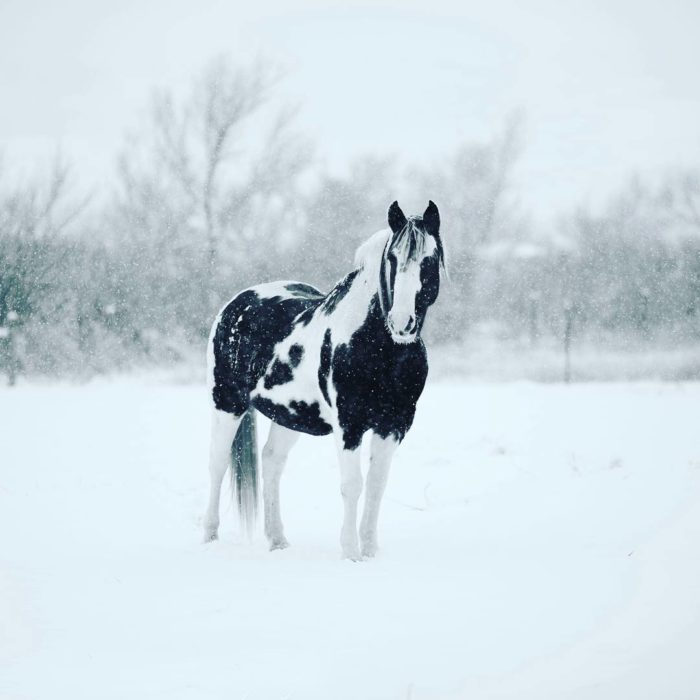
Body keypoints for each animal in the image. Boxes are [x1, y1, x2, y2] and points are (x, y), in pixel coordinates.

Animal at [204, 200, 442, 560]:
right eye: (392, 258)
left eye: (429, 259)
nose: (402, 322)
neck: (379, 349)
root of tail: (236, 303)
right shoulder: (349, 425)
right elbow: (352, 485)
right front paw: (351, 554)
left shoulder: (395, 424)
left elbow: (376, 484)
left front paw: (371, 551)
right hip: (226, 403)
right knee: (217, 464)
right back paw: (210, 538)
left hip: (288, 415)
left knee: (271, 462)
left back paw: (278, 541)